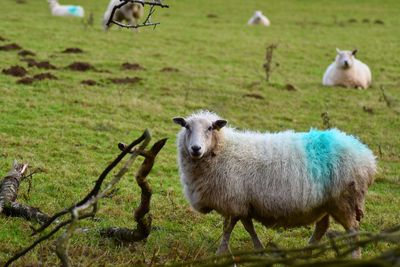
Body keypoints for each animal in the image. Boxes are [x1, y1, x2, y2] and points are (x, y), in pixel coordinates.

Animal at [173, 111, 376, 260]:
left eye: (210, 128)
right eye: (187, 127)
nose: (195, 149)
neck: (224, 150)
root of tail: (367, 157)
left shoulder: (234, 200)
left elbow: (228, 228)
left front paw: (220, 253)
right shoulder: (243, 204)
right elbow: (248, 227)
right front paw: (259, 249)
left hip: (344, 201)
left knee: (352, 230)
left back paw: (354, 257)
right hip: (325, 203)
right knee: (322, 227)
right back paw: (307, 252)